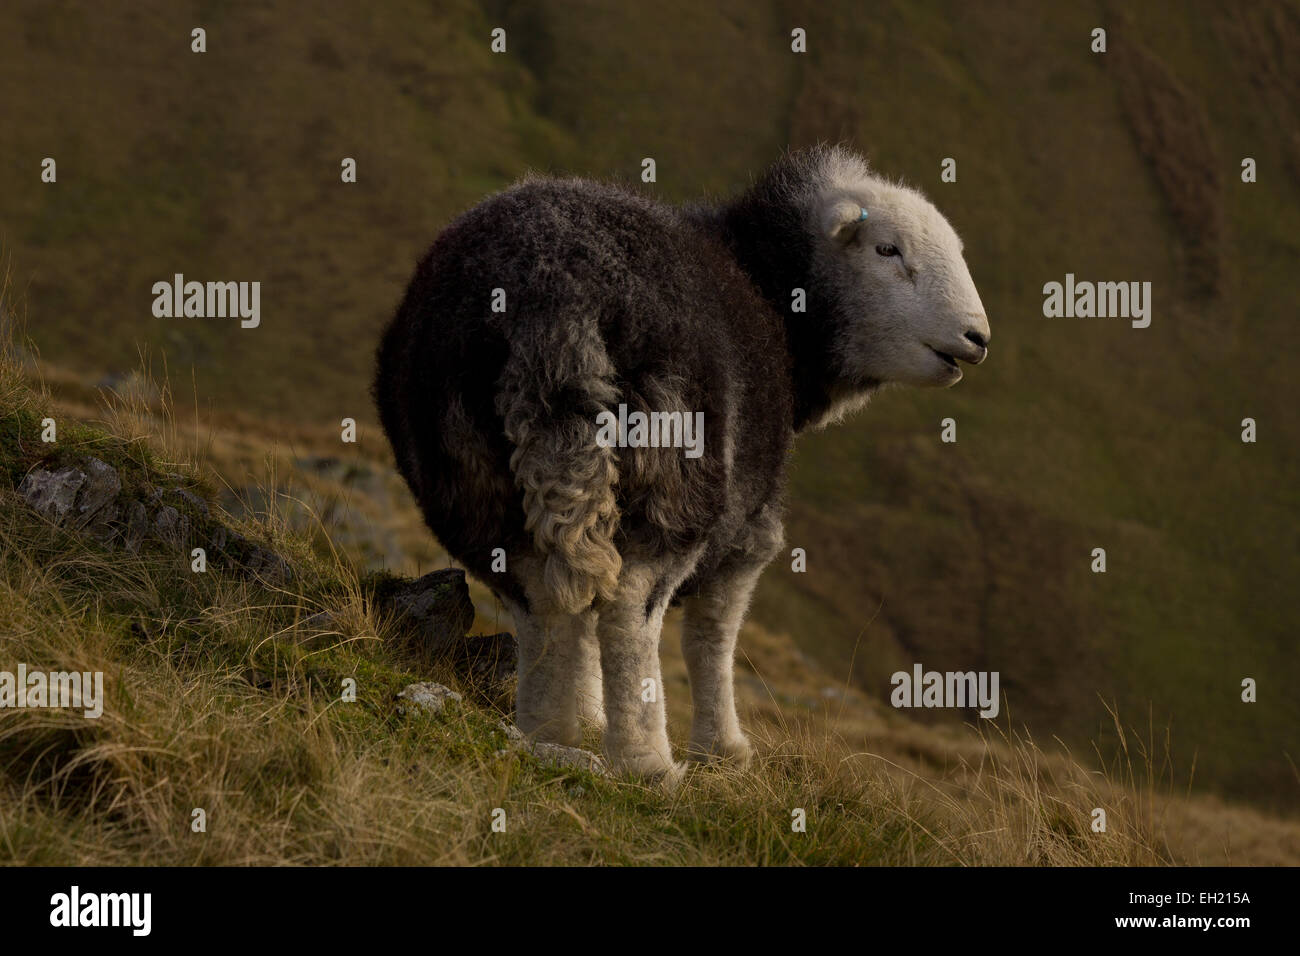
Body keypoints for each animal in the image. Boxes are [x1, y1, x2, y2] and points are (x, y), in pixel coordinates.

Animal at [373, 145, 990, 785]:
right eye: (887, 250)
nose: (978, 338)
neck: (772, 293)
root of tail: (551, 292)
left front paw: (589, 718)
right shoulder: (749, 529)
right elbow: (712, 635)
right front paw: (725, 751)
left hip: (467, 466)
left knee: (538, 592)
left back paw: (550, 732)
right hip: (675, 469)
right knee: (629, 607)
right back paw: (647, 764)